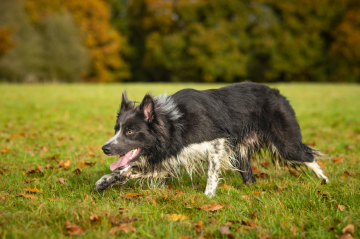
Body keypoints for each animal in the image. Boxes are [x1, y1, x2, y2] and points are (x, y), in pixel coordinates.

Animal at [95, 82, 330, 196]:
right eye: (117, 129)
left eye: (130, 131)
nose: (105, 148)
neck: (173, 122)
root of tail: (278, 93)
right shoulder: (166, 158)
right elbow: (128, 170)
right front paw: (104, 181)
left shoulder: (217, 142)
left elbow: (212, 173)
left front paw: (208, 196)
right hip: (241, 152)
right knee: (249, 176)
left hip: (286, 143)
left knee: (309, 156)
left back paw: (325, 182)